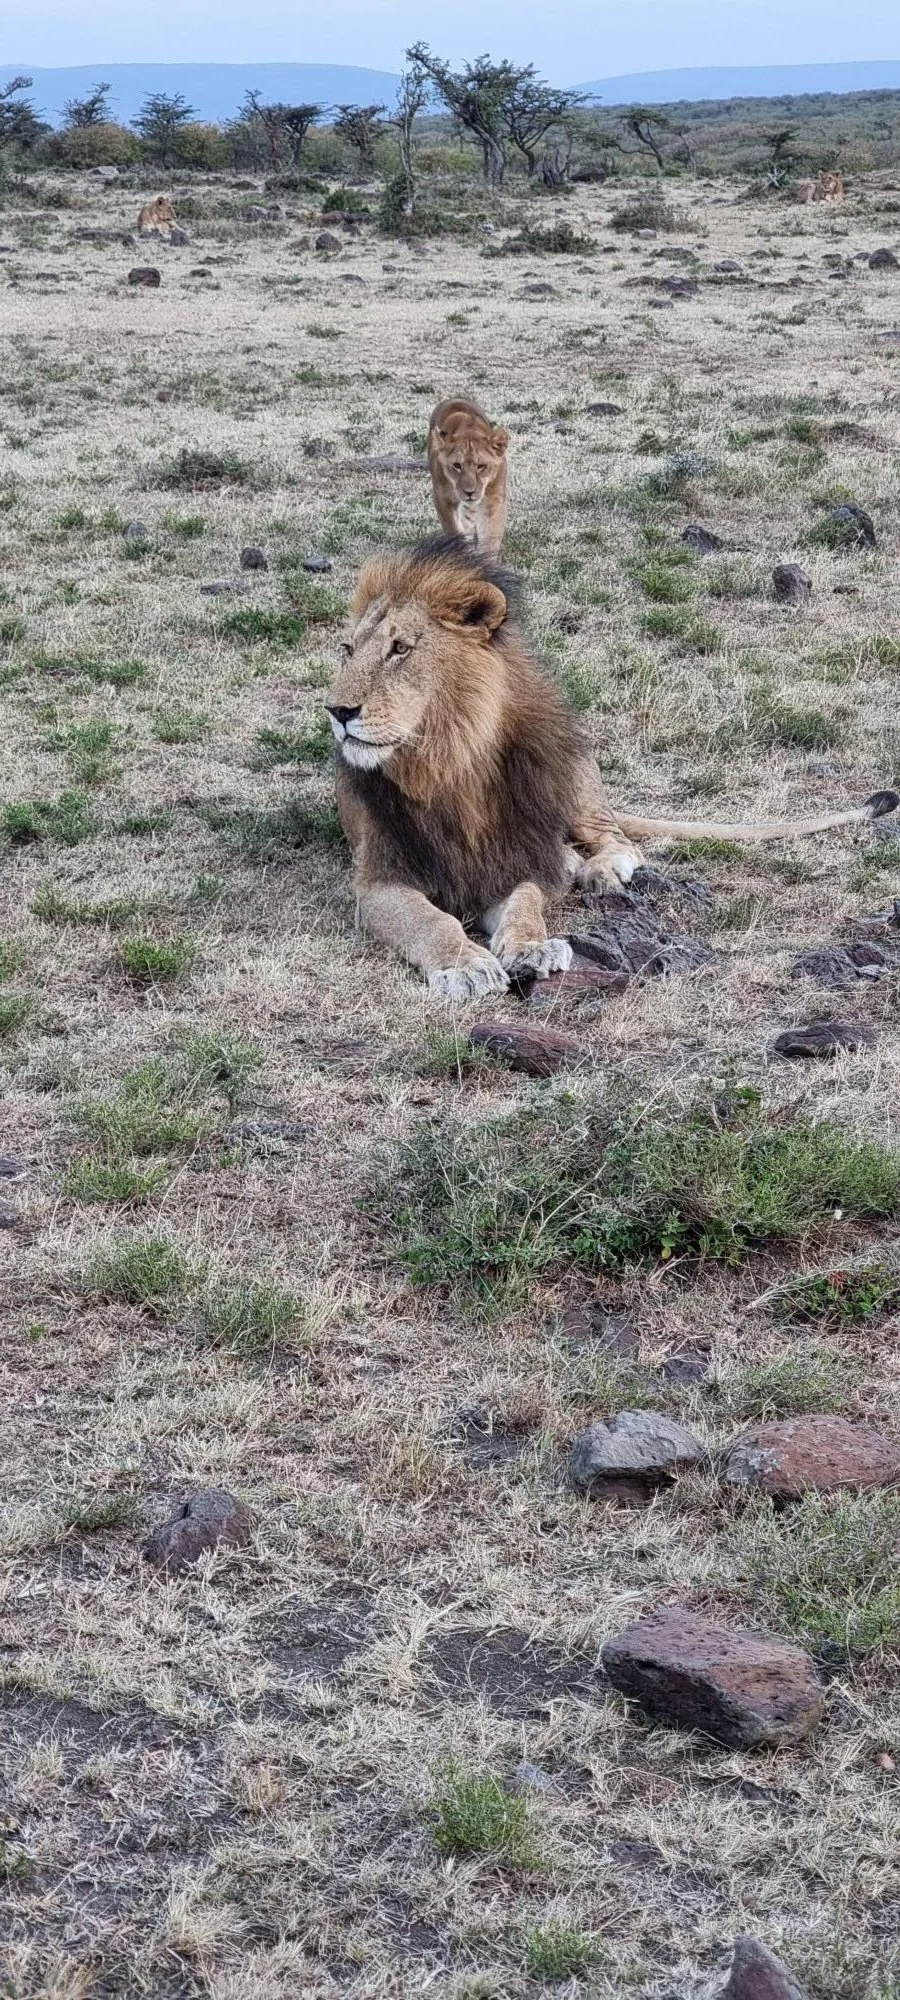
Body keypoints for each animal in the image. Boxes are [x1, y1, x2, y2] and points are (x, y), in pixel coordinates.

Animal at [325, 537, 897, 1001]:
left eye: (400, 649)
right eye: (347, 651)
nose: (337, 711)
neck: (448, 763)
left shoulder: (518, 857)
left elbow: (527, 904)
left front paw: (531, 948)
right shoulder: (380, 882)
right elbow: (433, 921)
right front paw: (466, 965)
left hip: (574, 774)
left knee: (617, 839)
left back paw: (600, 869)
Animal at [427, 398, 510, 558]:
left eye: (481, 466)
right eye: (457, 465)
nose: (469, 492)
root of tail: (455, 398)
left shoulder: (493, 499)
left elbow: (490, 537)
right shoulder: (441, 497)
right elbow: (453, 530)